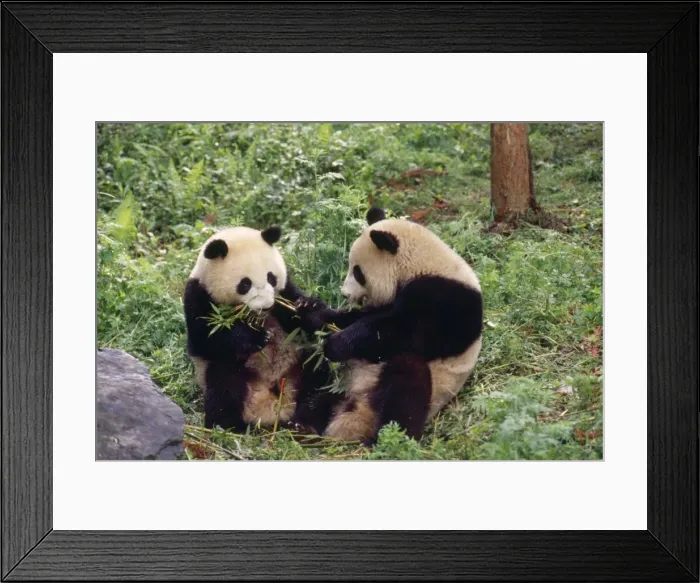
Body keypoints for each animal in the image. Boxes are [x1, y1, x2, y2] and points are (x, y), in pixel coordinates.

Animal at [183, 225, 340, 433]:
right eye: (245, 284)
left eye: (271, 278)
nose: (266, 305)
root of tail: (271, 410)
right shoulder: (199, 295)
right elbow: (204, 339)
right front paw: (255, 337)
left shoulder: (284, 292)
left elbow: (298, 317)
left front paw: (310, 308)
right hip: (234, 374)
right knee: (225, 383)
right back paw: (228, 426)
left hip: (299, 360)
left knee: (317, 372)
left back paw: (306, 420)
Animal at [296, 207, 483, 442]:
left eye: (357, 272)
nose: (345, 294)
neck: (422, 265)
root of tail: (356, 413)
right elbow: (359, 318)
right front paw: (311, 309)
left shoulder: (446, 301)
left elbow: (404, 334)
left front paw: (335, 344)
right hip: (341, 387)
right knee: (318, 400)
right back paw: (305, 424)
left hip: (429, 389)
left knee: (406, 380)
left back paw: (392, 436)